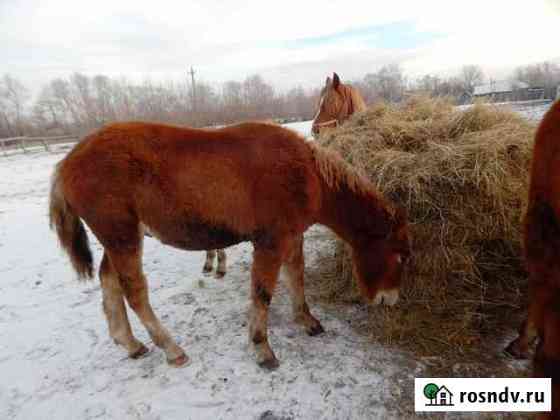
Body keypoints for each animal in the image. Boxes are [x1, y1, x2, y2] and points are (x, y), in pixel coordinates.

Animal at [50, 120, 410, 368]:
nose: (389, 301)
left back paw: (130, 343)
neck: (307, 174)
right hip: (122, 237)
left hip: (119, 238)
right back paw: (172, 349)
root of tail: (67, 162)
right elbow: (262, 293)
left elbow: (297, 276)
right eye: (401, 256)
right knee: (134, 291)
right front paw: (262, 348)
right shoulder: (270, 242)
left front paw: (307, 320)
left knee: (109, 281)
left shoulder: (293, 236)